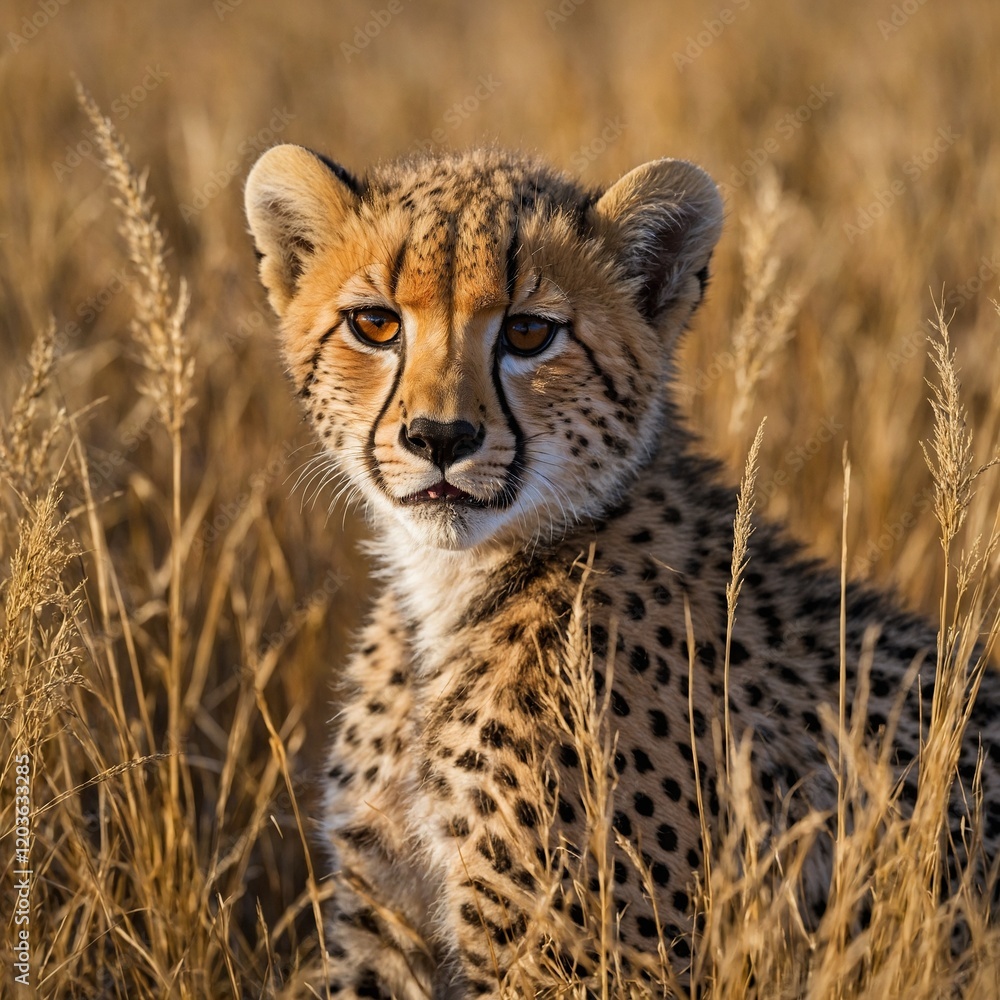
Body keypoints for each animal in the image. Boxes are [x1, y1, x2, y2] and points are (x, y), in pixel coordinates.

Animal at [244, 144, 1000, 998]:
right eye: (374, 324)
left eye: (529, 332)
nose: (440, 437)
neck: (453, 588)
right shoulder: (385, 921)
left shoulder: (582, 958)